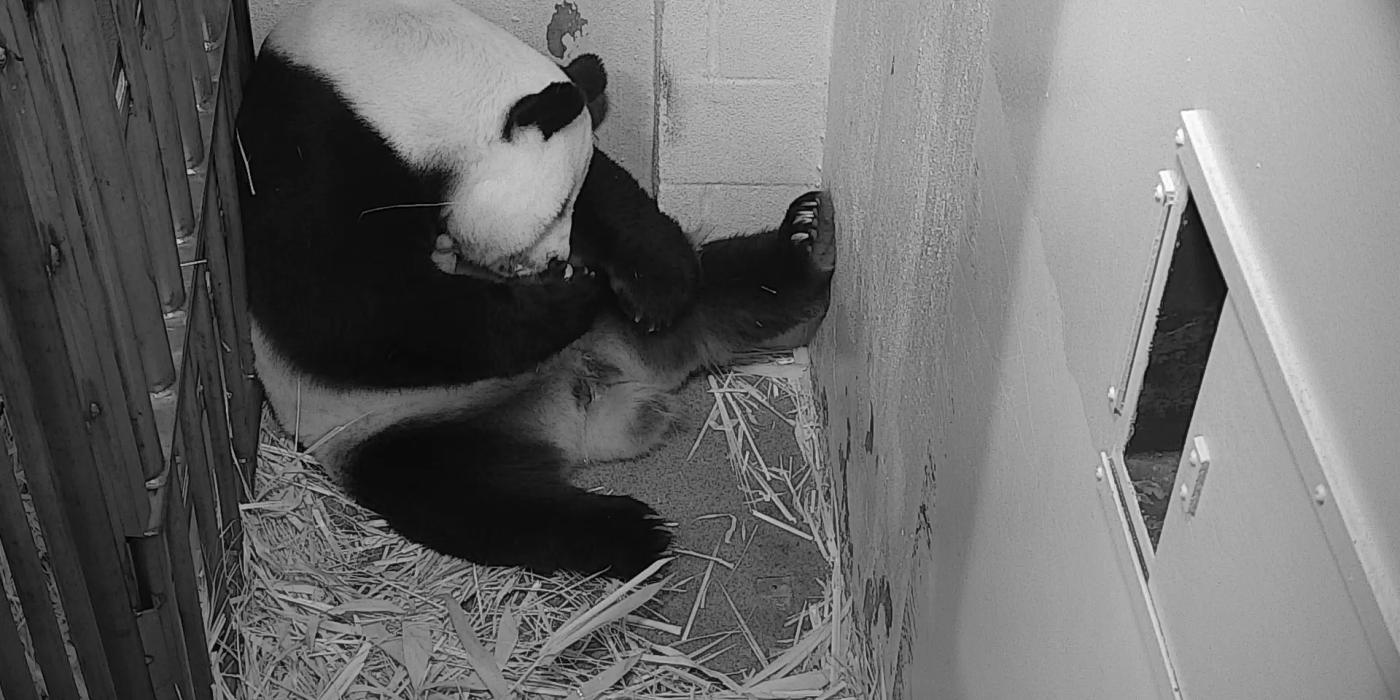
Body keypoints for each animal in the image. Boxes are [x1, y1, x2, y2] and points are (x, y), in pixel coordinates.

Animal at [236, 0, 834, 579]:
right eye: (551, 211)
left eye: (567, 202)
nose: (558, 263)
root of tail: (582, 401)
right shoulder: (308, 152)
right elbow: (349, 309)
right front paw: (570, 299)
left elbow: (615, 197)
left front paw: (656, 288)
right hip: (398, 431)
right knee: (481, 502)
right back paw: (631, 534)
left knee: (736, 289)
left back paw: (807, 243)